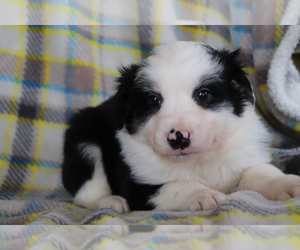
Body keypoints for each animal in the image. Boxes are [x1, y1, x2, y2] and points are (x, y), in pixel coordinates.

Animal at [62, 41, 300, 213]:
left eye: (204, 95)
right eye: (153, 100)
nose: (178, 137)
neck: (198, 161)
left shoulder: (243, 155)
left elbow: (259, 172)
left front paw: (286, 183)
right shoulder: (135, 185)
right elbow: (177, 185)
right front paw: (205, 195)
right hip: (83, 138)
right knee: (85, 190)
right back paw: (110, 202)